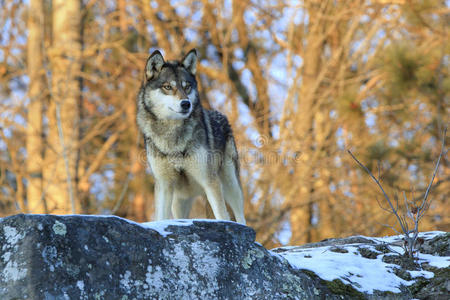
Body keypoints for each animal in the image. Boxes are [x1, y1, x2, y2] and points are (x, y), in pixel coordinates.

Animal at [136, 49, 246, 224]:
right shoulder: (164, 185)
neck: (172, 135)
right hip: (179, 200)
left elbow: (222, 215)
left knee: (240, 215)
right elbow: (160, 217)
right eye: (168, 87)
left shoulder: (210, 181)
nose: (186, 103)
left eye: (187, 86)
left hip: (231, 184)